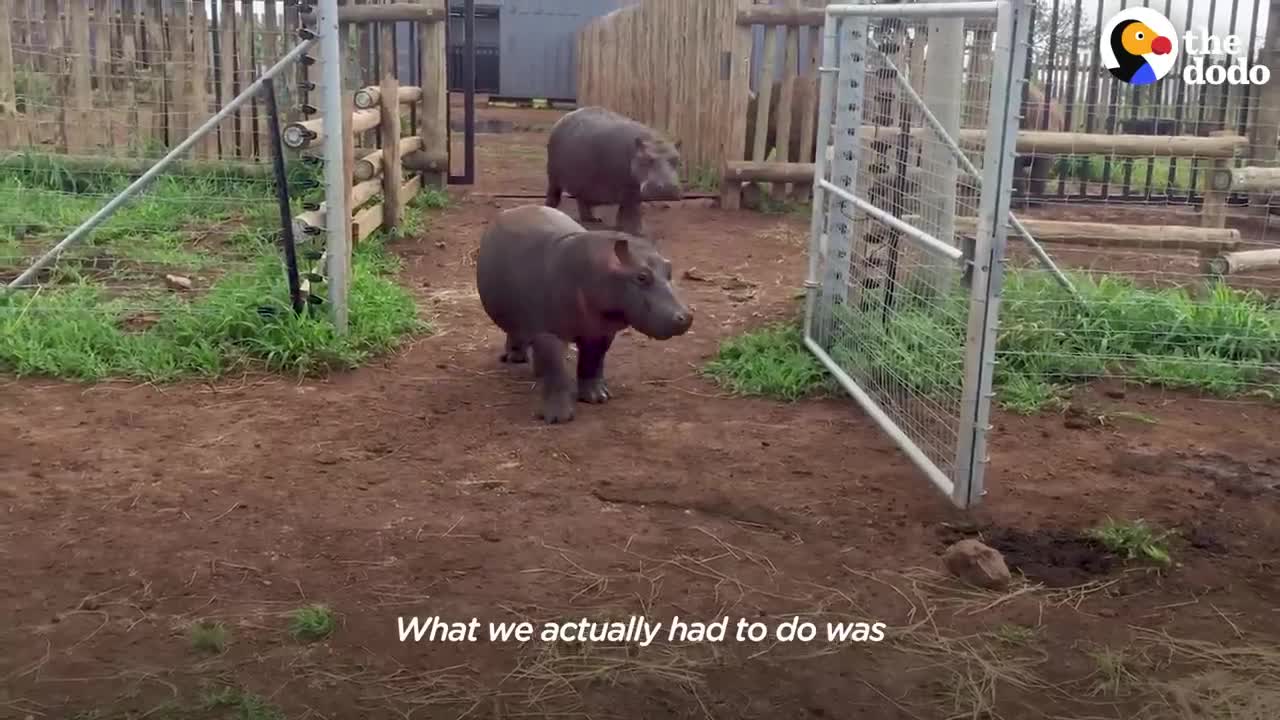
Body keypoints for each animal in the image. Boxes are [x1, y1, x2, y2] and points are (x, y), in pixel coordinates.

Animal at [476, 202, 696, 422]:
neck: (599, 268)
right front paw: (558, 418)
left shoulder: (600, 331)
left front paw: (598, 398)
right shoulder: (548, 332)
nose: (686, 316)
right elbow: (555, 371)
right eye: (641, 277)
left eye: (669, 269)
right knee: (517, 334)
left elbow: (591, 361)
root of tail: (513, 210)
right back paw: (515, 359)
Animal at [542, 105, 680, 235]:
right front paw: (636, 232)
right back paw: (550, 210)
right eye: (647, 159)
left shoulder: (634, 192)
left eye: (677, 159)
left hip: (583, 183)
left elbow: (627, 211)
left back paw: (593, 219)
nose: (667, 188)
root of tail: (564, 118)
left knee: (583, 201)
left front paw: (628, 229)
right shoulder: (627, 190)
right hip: (553, 177)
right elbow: (631, 212)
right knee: (554, 196)